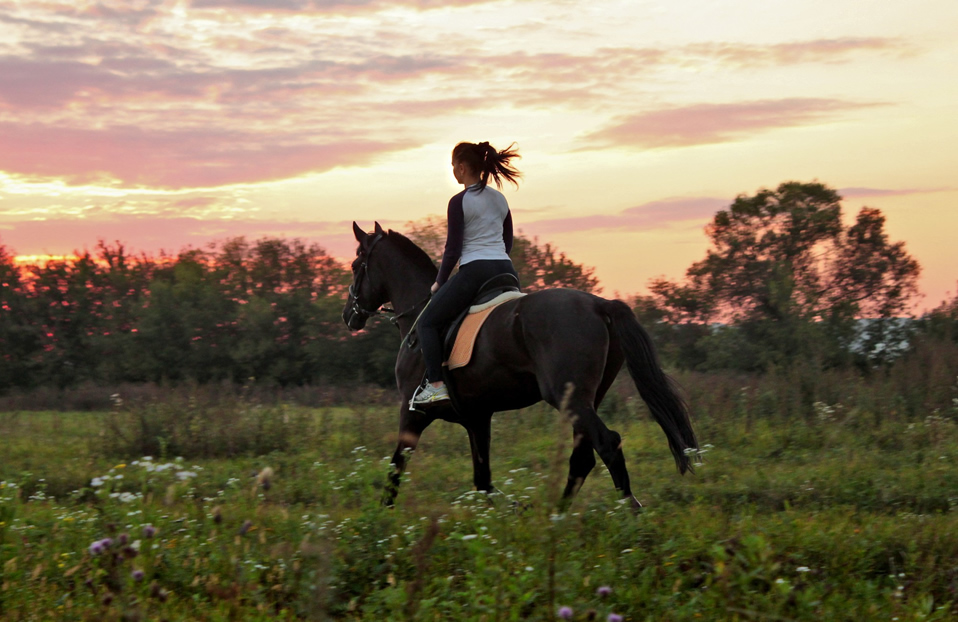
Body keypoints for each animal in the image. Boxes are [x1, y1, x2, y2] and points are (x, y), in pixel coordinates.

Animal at [343, 222, 698, 510]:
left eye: (356, 265)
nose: (349, 316)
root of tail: (600, 304)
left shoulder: (413, 413)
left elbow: (395, 469)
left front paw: (381, 523)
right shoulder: (477, 418)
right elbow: (483, 482)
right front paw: (512, 510)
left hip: (569, 398)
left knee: (606, 444)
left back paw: (628, 513)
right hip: (585, 400)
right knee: (582, 457)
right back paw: (555, 516)